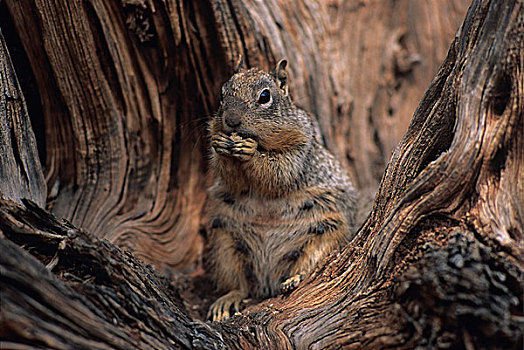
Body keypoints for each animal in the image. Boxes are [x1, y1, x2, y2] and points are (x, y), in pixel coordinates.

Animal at [205, 58, 356, 322]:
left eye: (265, 96)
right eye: (222, 93)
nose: (231, 121)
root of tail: (268, 279)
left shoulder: (299, 148)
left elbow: (279, 171)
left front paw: (250, 152)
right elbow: (232, 177)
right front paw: (222, 145)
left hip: (328, 233)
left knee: (309, 266)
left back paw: (294, 278)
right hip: (224, 241)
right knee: (241, 286)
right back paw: (227, 300)